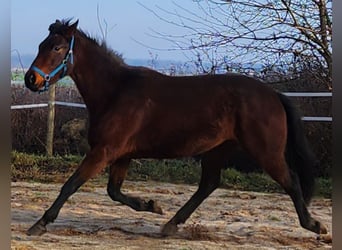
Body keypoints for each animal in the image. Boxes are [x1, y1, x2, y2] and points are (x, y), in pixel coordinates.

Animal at [22, 19, 328, 236]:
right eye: (40, 45)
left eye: (57, 47)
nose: (30, 80)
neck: (116, 92)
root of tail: (274, 95)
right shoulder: (121, 155)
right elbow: (113, 192)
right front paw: (152, 206)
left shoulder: (103, 151)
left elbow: (70, 185)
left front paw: (40, 224)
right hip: (217, 150)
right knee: (209, 184)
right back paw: (170, 224)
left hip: (266, 151)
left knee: (291, 181)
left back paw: (315, 225)